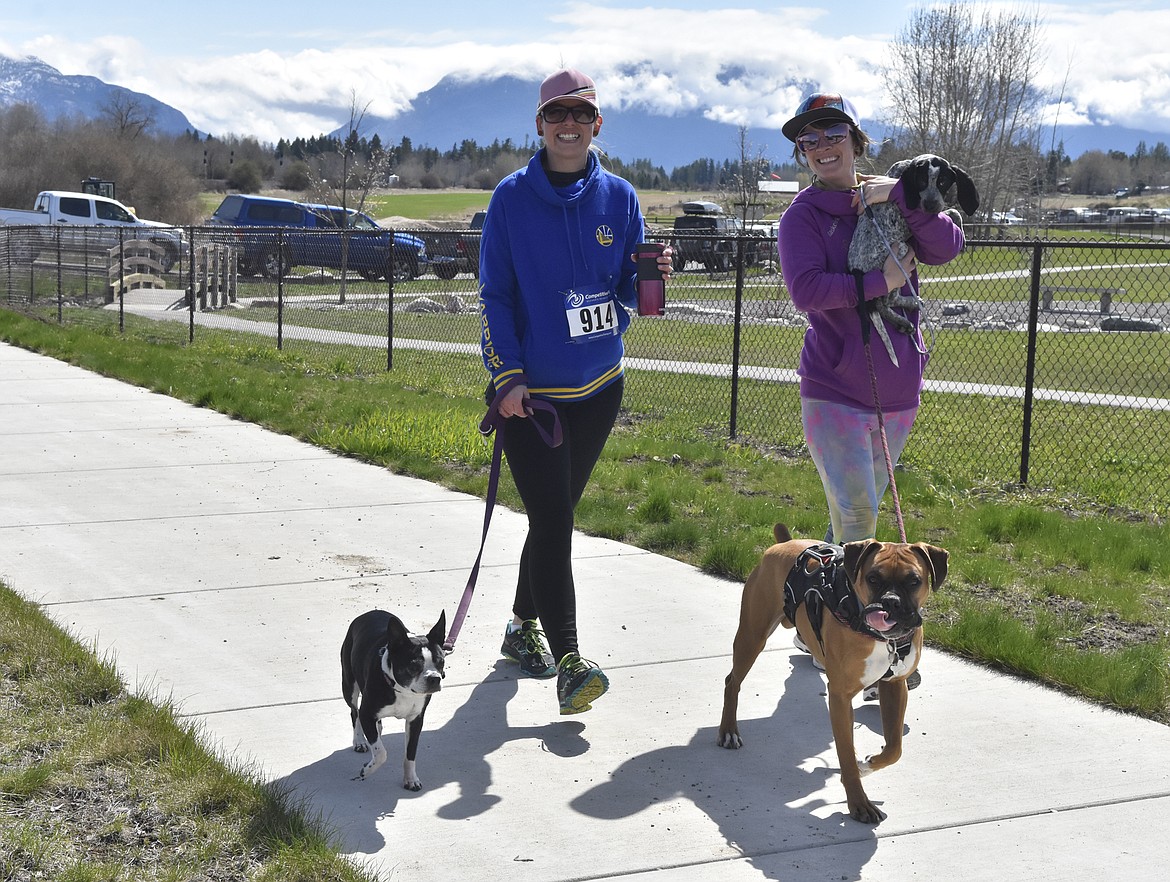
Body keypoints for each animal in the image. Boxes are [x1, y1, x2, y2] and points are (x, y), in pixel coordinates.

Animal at [341, 608, 446, 786]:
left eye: (441, 662)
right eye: (413, 666)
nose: (434, 678)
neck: (403, 690)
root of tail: (368, 613)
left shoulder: (416, 720)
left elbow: (410, 753)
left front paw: (411, 780)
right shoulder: (367, 713)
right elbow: (381, 753)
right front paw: (366, 771)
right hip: (349, 686)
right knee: (354, 712)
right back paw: (359, 741)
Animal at [716, 519, 945, 823]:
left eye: (913, 581)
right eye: (873, 578)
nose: (891, 602)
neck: (883, 639)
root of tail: (782, 544)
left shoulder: (895, 686)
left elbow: (894, 747)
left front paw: (868, 764)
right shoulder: (840, 698)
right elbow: (846, 754)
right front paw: (859, 802)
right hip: (752, 636)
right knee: (732, 681)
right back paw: (729, 731)